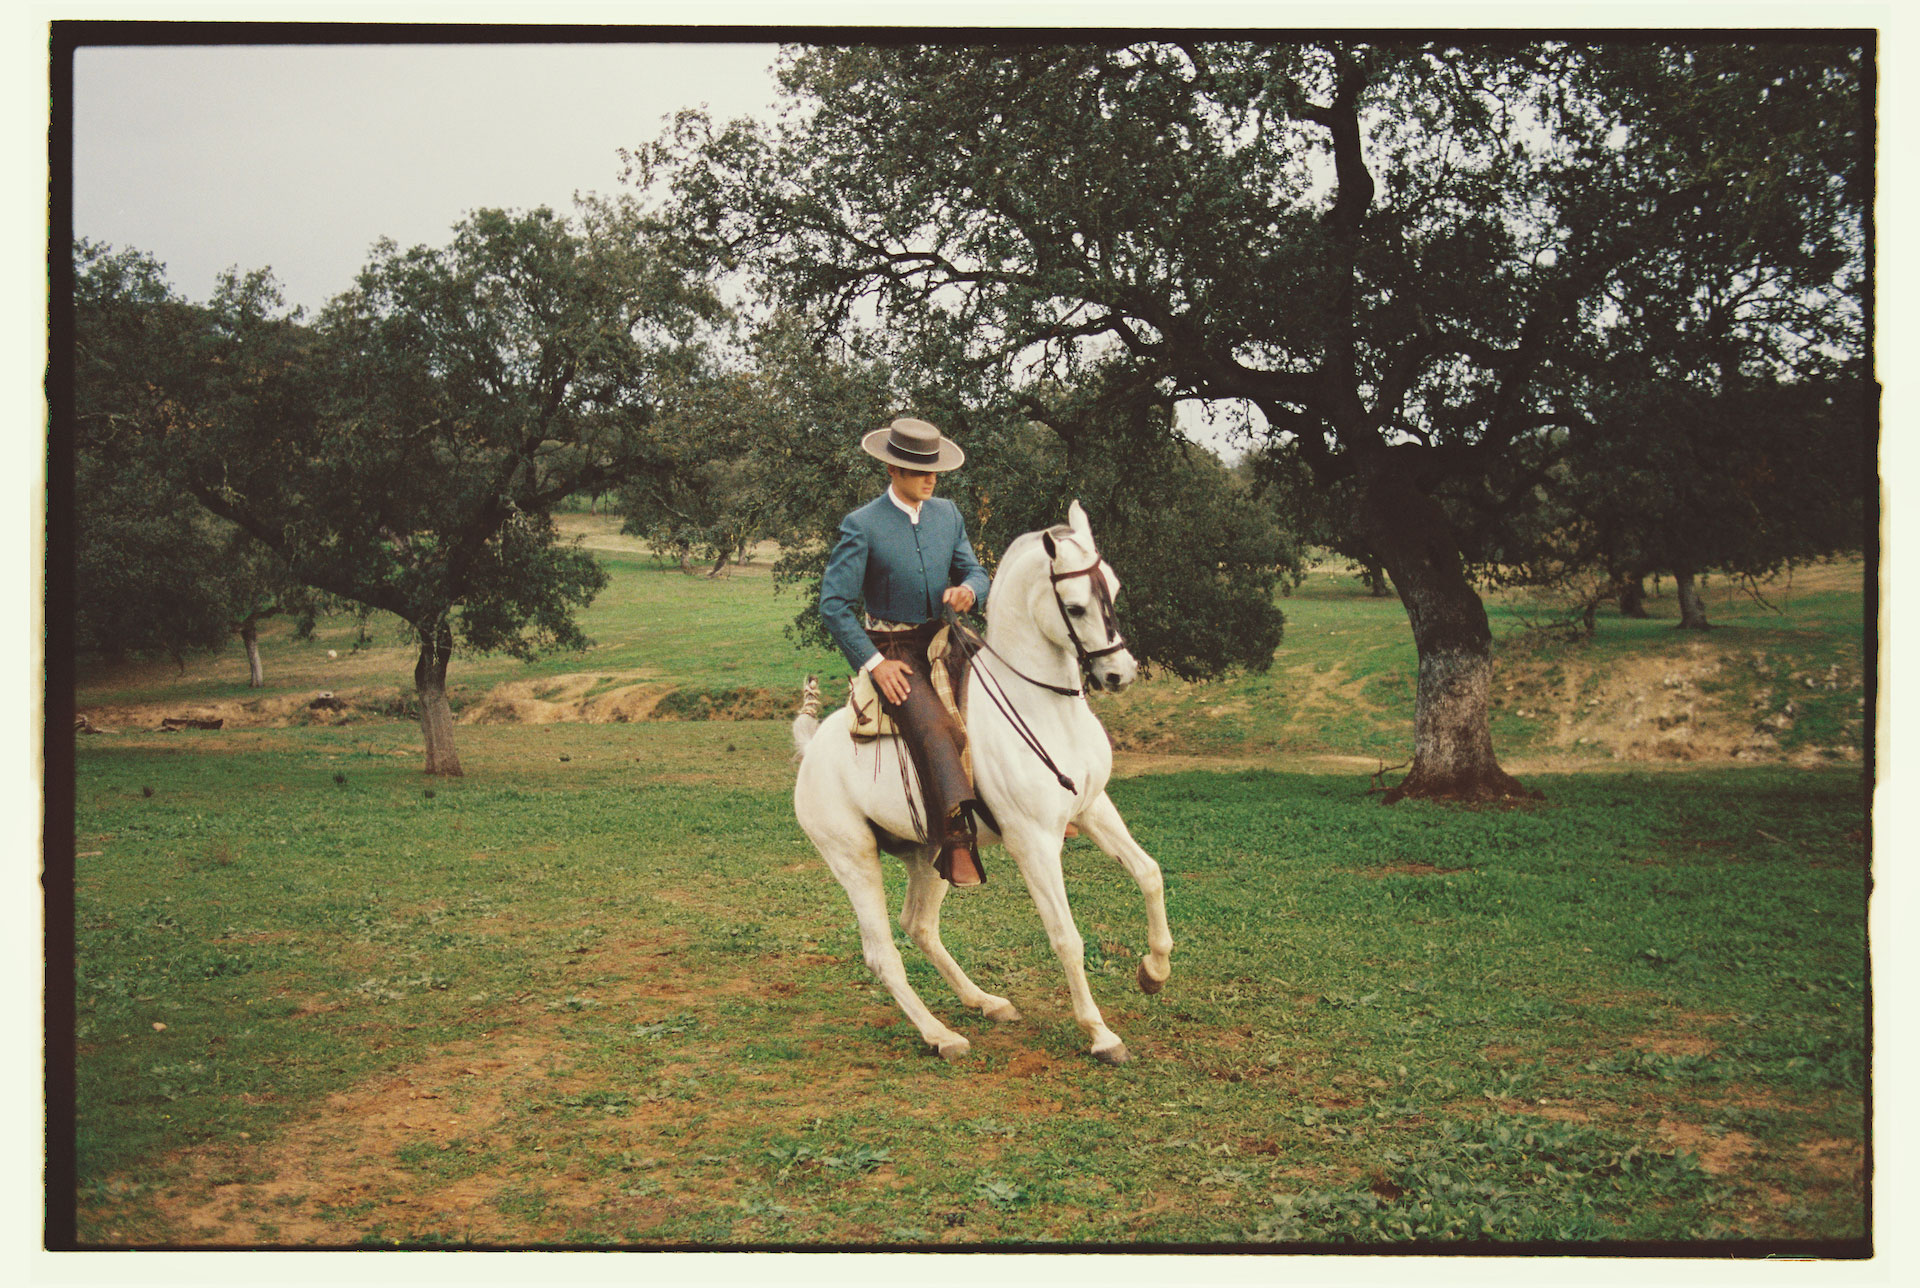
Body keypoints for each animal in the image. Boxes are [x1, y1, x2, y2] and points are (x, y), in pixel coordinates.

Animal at [791, 499, 1167, 1059]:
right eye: (1076, 607)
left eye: (1115, 591)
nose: (1120, 674)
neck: (1044, 710)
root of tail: (811, 747)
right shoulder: (1034, 842)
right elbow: (1065, 936)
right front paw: (1100, 1033)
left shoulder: (1093, 807)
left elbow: (1149, 874)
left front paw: (1154, 971)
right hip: (853, 860)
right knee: (883, 953)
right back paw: (941, 1035)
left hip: (934, 852)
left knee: (920, 926)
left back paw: (986, 1002)